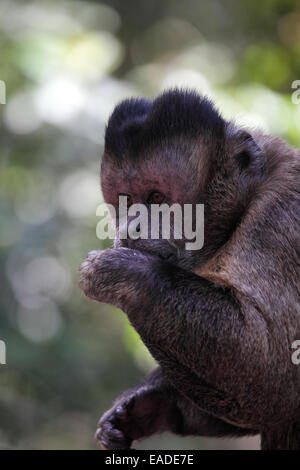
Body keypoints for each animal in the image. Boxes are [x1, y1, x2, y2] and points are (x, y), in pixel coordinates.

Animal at [79, 89, 300, 452]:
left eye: (156, 197)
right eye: (127, 201)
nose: (130, 227)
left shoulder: (282, 216)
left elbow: (276, 383)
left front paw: (127, 274)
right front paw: (147, 406)